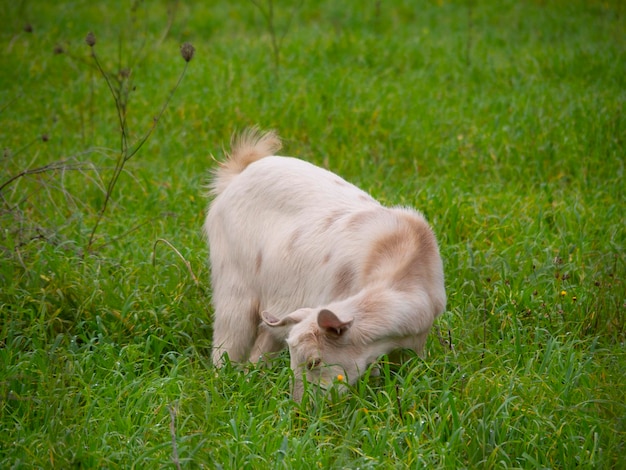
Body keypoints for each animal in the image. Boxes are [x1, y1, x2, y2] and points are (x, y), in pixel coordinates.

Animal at [204, 129, 444, 400]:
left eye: (314, 362)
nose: (298, 404)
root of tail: (240, 171)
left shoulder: (413, 342)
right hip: (233, 282)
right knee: (228, 340)